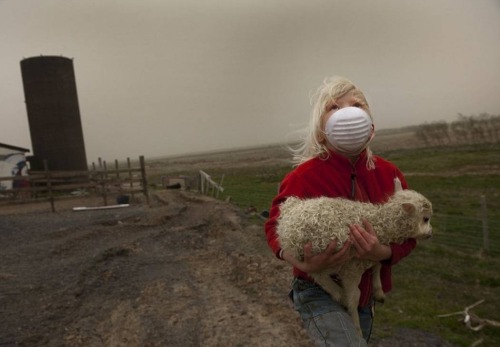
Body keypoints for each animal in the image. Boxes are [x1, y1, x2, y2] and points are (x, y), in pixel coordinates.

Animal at [276, 190, 432, 334]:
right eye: (425, 218)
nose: (430, 234)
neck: (381, 223)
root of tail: (290, 210)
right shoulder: (352, 267)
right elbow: (355, 296)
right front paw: (356, 327)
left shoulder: (370, 253)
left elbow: (378, 265)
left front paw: (378, 291)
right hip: (315, 254)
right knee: (317, 273)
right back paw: (338, 294)